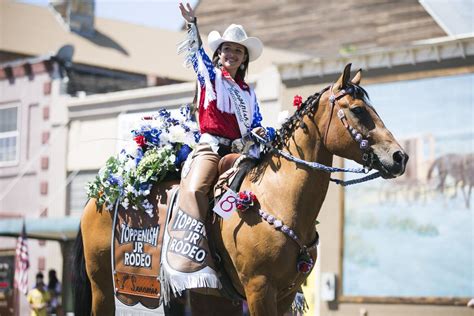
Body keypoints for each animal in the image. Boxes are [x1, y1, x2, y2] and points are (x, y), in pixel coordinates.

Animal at [73, 63, 408, 314]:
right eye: (358, 110)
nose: (399, 157)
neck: (277, 195)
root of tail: (98, 196)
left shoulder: (285, 294)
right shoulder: (259, 288)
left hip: (201, 297)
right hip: (102, 285)